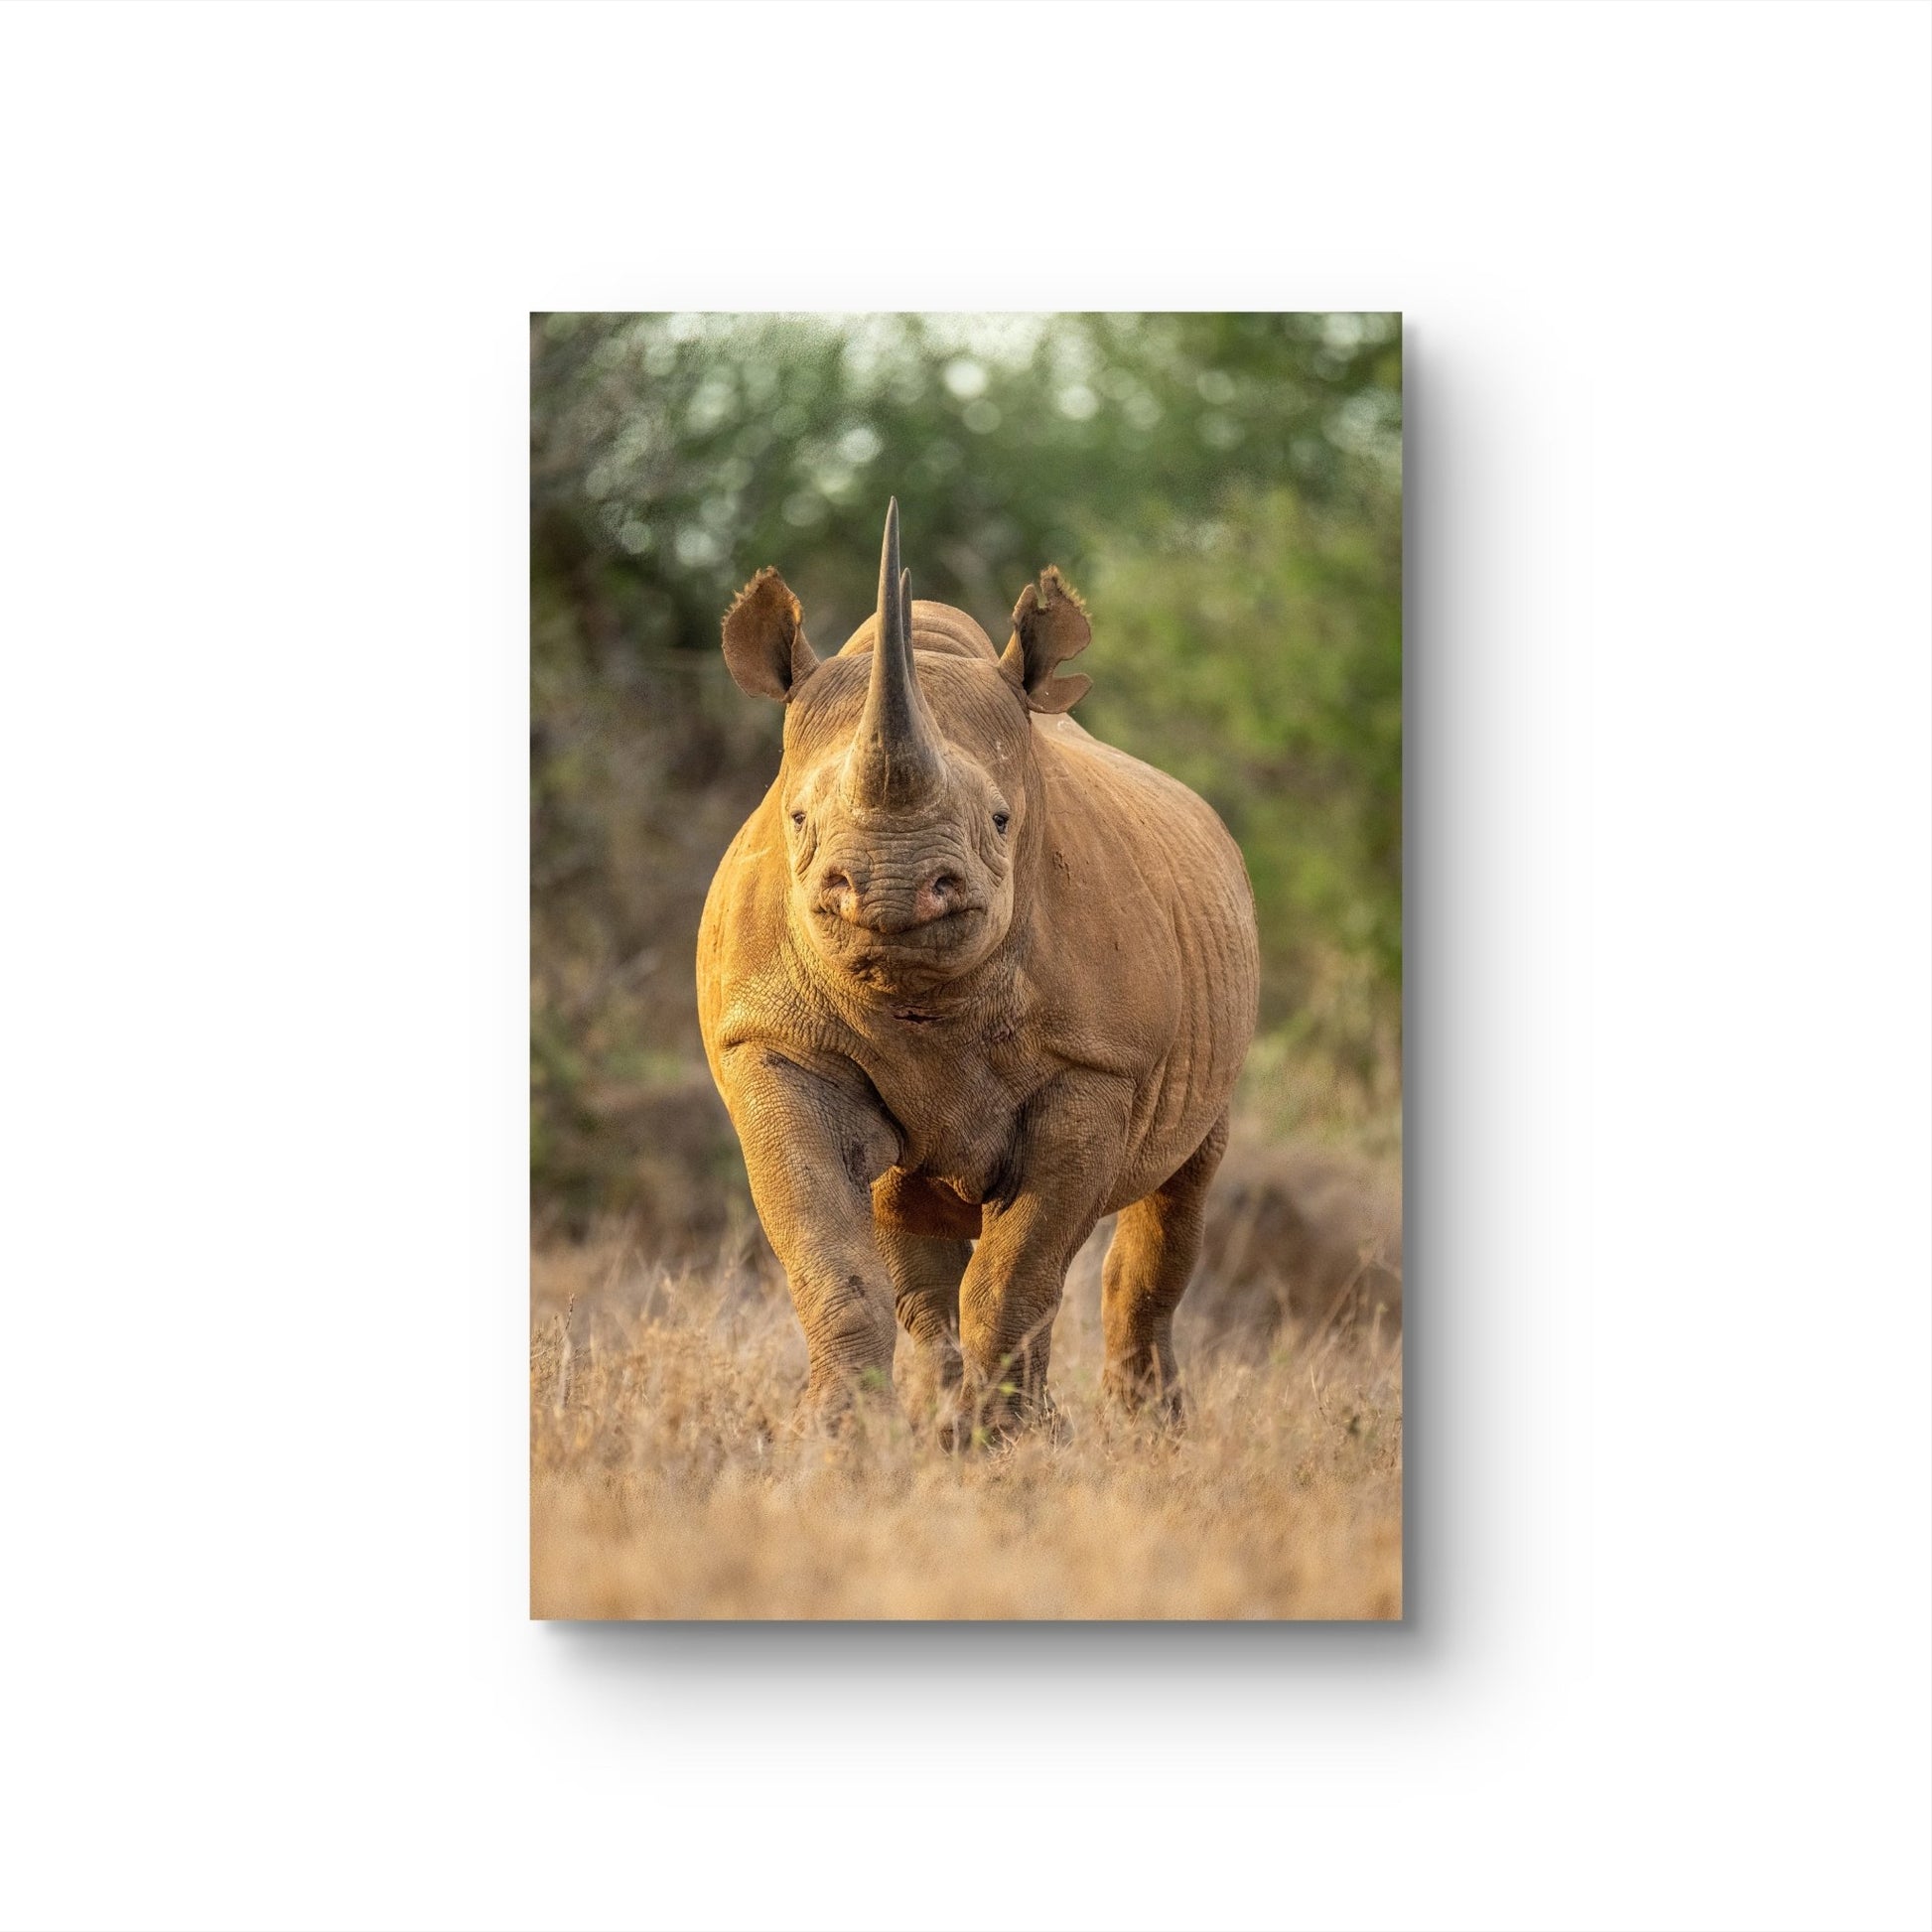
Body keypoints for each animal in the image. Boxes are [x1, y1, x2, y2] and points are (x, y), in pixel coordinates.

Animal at [698, 501, 1259, 1429]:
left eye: (1001, 820)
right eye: (799, 818)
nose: (891, 887)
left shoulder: (1095, 1067)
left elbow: (1017, 1275)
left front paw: (1006, 1444)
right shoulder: (775, 1042)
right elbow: (830, 1259)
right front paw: (836, 1438)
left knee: (1177, 1194)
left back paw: (1143, 1432)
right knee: (910, 1232)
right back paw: (938, 1421)